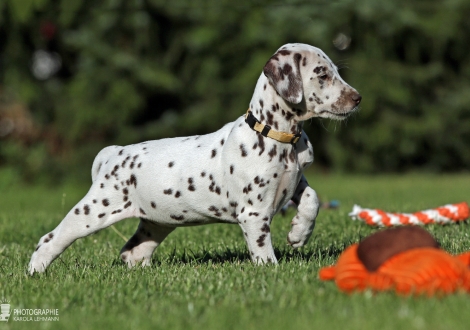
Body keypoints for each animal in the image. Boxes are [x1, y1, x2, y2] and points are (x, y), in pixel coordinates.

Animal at [28, 43, 360, 274]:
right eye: (322, 74)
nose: (358, 99)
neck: (276, 136)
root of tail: (114, 153)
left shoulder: (296, 181)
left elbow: (312, 199)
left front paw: (299, 234)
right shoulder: (254, 214)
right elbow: (262, 248)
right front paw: (273, 271)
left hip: (157, 221)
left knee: (132, 251)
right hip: (94, 210)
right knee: (51, 238)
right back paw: (36, 270)